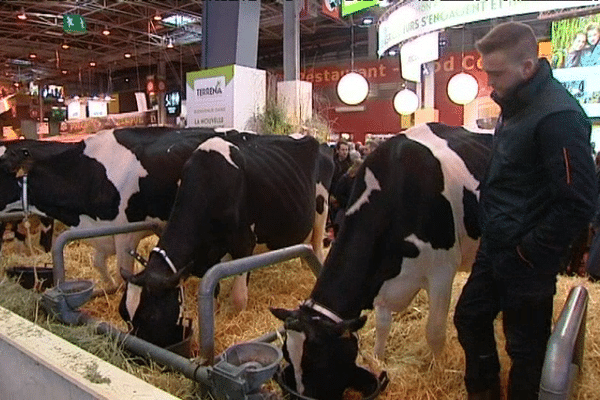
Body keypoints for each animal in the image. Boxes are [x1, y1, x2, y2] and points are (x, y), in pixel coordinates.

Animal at [117, 134, 332, 346]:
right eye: (123, 314)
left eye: (151, 316)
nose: (134, 351)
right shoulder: (207, 256)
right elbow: (212, 294)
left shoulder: (245, 244)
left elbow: (238, 300)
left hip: (322, 210)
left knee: (317, 246)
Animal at [272, 123, 492, 398]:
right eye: (286, 355)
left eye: (319, 363)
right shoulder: (381, 278)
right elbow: (383, 324)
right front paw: (378, 358)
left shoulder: (442, 271)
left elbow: (434, 332)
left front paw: (437, 368)